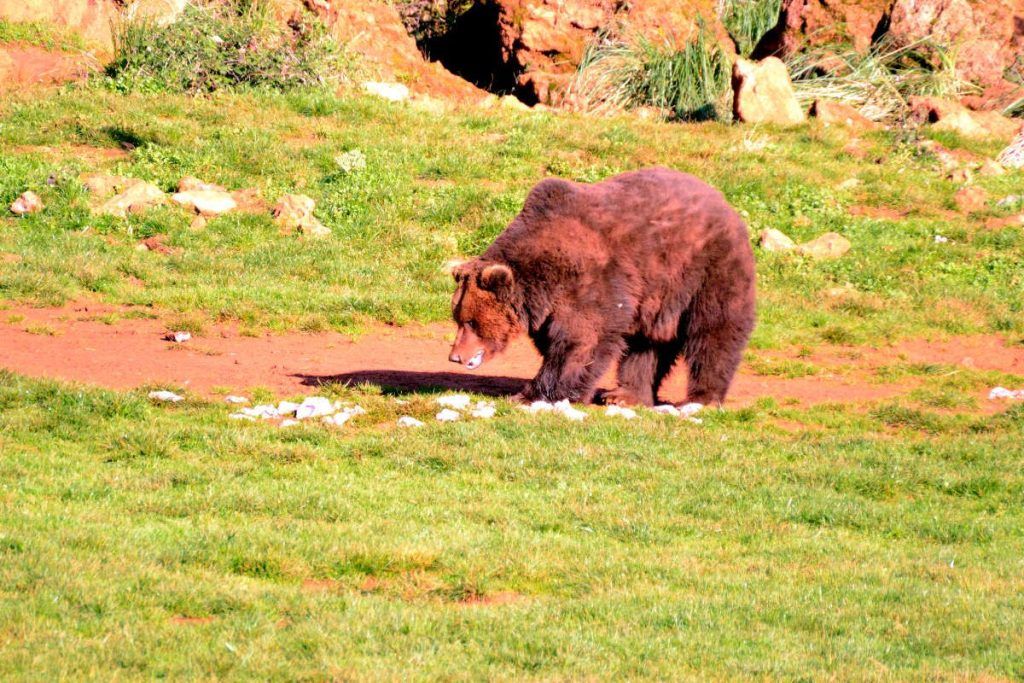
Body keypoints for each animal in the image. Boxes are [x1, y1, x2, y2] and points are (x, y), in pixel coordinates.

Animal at [448, 167, 756, 407]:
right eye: (458, 318)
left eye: (472, 322)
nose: (455, 356)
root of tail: (724, 202)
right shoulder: (550, 305)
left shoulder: (590, 282)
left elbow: (583, 339)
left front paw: (535, 394)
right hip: (655, 293)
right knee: (646, 345)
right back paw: (625, 395)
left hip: (705, 267)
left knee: (714, 330)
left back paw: (702, 398)